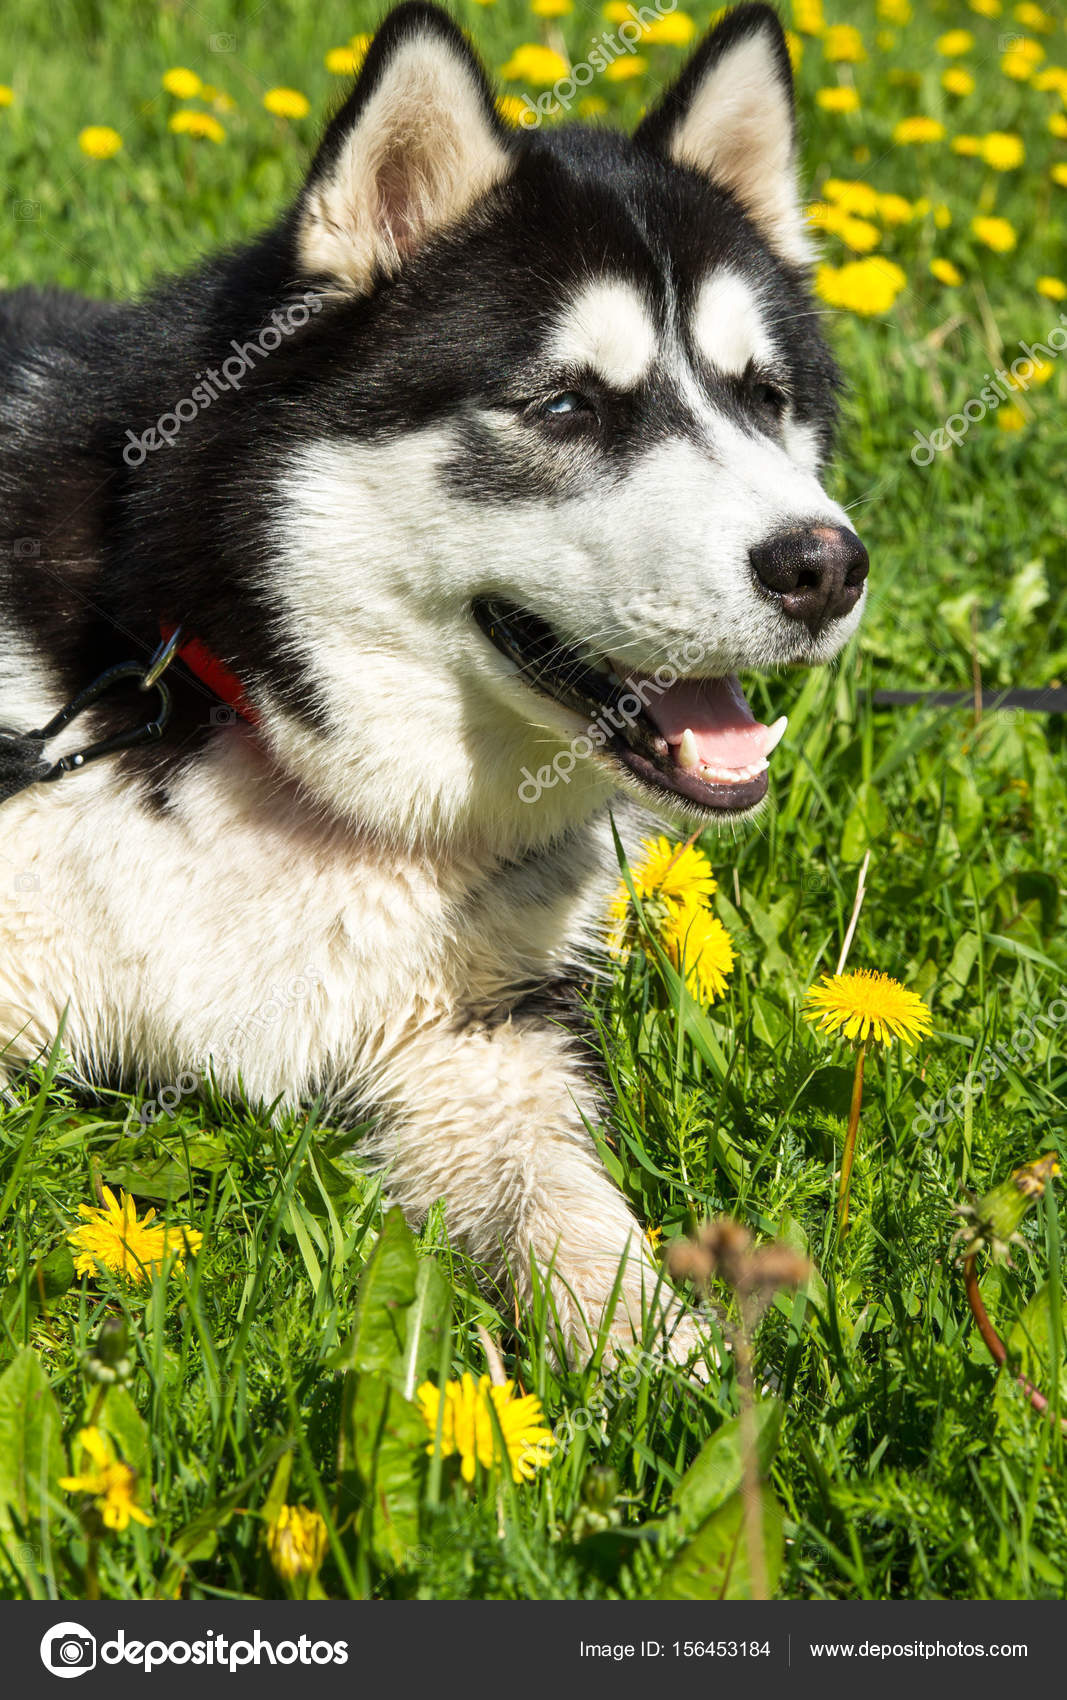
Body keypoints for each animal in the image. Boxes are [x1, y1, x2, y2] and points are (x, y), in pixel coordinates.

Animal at [0, 0, 863, 1353]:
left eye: (762, 396)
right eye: (564, 405)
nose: (824, 565)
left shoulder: (484, 1040)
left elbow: (578, 1220)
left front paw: (670, 1374)